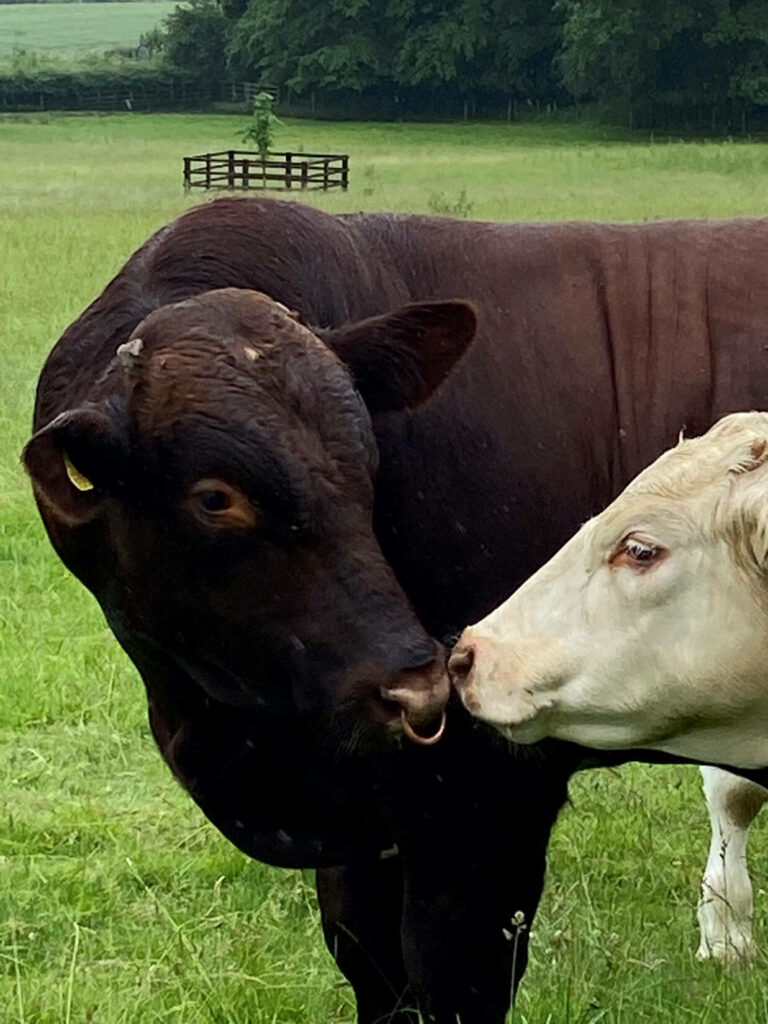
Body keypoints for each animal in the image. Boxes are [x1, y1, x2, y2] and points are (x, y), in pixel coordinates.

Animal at [24, 199, 768, 1022]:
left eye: (368, 460)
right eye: (216, 497)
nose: (418, 685)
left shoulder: (485, 803)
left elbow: (453, 980)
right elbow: (371, 963)